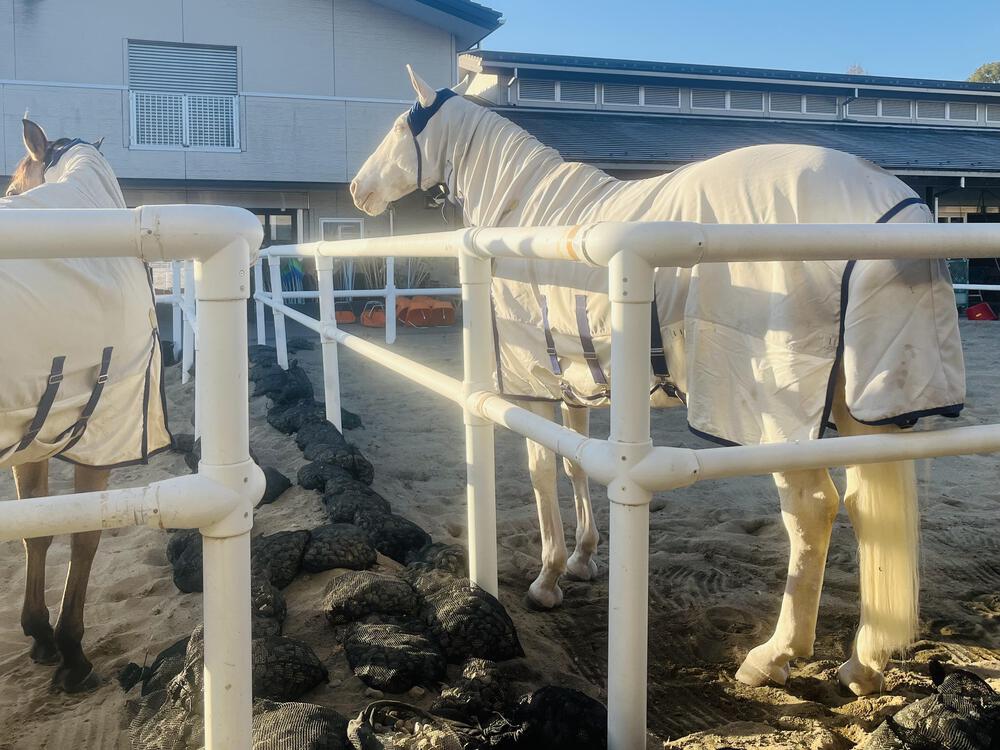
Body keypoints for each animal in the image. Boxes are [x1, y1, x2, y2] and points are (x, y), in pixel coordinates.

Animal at [1, 119, 171, 692]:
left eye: (12, 188)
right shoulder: (100, 435)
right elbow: (83, 536)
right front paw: (71, 650)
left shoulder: (36, 439)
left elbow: (39, 532)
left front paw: (41, 635)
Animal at [350, 67, 965, 696]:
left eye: (399, 126)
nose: (356, 189)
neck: (529, 217)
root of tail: (889, 203)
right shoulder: (575, 382)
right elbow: (574, 465)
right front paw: (583, 559)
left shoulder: (535, 384)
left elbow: (542, 472)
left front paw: (547, 580)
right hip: (860, 407)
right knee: (871, 512)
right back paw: (862, 664)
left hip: (778, 416)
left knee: (813, 509)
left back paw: (772, 656)